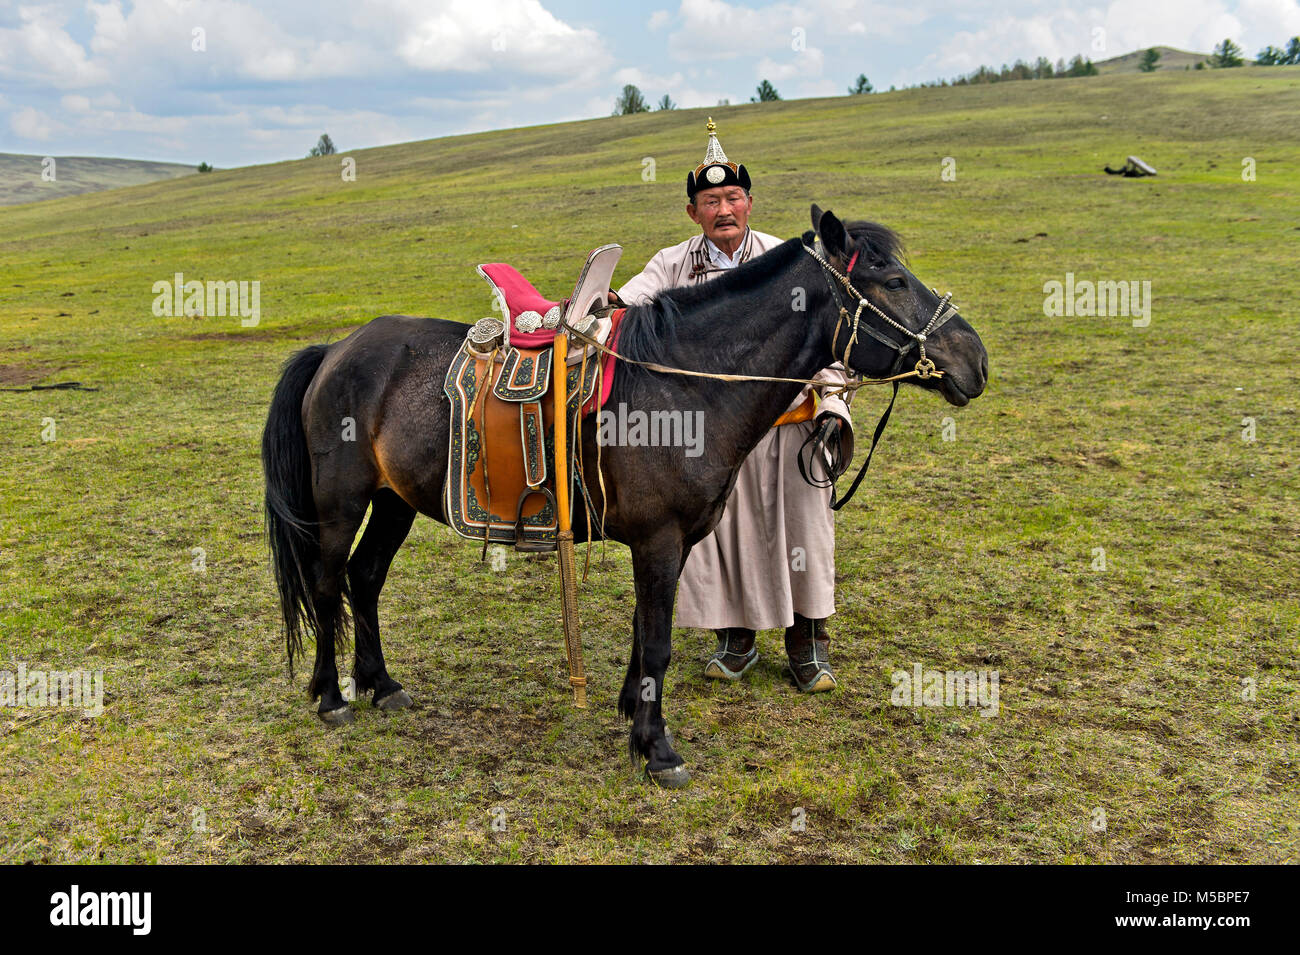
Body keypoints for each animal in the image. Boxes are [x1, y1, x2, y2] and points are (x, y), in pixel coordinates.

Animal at [269, 207, 987, 784]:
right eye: (893, 280)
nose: (975, 360)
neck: (686, 384)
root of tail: (336, 349)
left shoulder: (674, 541)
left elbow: (646, 634)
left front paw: (636, 722)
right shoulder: (659, 540)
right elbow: (660, 640)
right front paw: (660, 749)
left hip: (393, 501)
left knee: (364, 578)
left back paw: (382, 684)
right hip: (341, 503)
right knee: (328, 581)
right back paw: (332, 696)